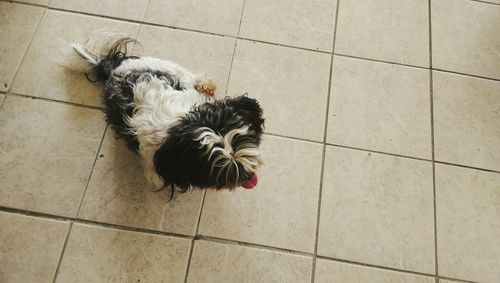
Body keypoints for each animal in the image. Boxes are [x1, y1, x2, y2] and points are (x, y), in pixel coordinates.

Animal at [72, 34, 266, 195]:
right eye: (213, 165)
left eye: (241, 139)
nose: (248, 176)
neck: (181, 124)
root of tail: (113, 70)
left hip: (168, 67)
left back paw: (205, 85)